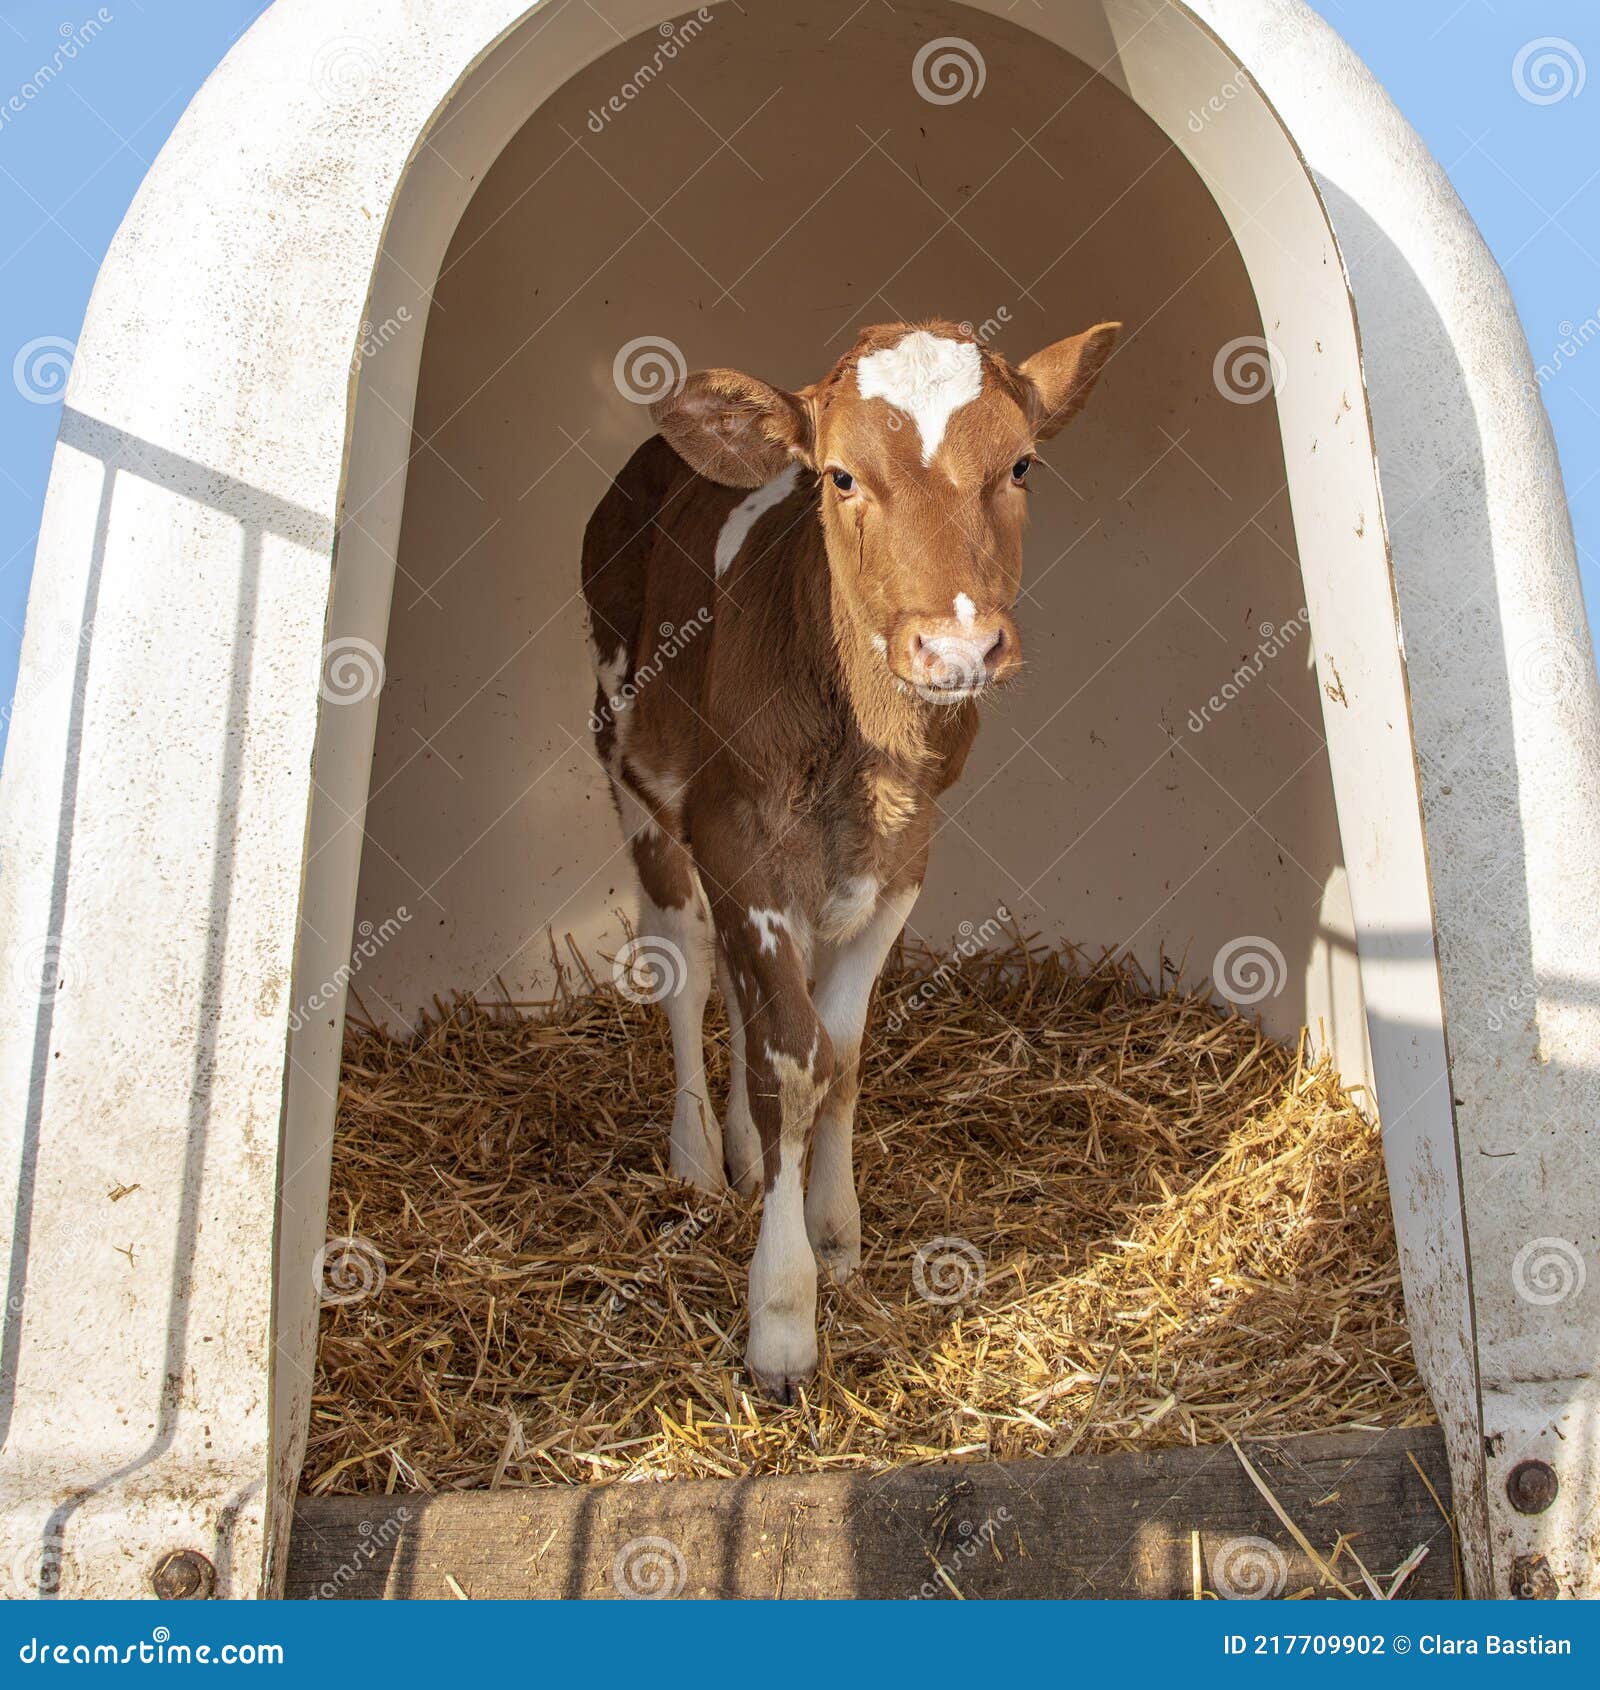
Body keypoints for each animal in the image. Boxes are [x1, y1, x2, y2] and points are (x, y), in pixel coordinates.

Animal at [582, 317, 1119, 1400]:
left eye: (1021, 463)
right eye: (837, 476)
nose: (957, 646)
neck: (864, 751)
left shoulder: (902, 863)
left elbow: (840, 1048)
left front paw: (833, 1233)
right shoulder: (737, 838)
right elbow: (791, 1061)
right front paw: (782, 1320)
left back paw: (748, 1163)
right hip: (630, 768)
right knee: (686, 960)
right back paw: (696, 1161)